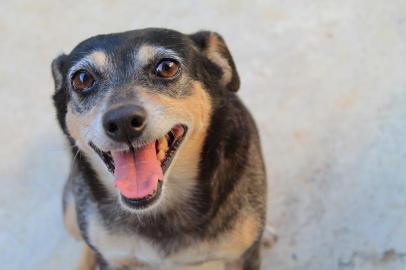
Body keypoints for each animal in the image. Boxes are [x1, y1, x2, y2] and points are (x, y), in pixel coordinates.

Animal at [53, 28, 270, 268]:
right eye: (82, 79)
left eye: (167, 67)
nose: (122, 121)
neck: (160, 209)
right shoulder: (112, 258)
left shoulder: (243, 256)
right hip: (71, 214)